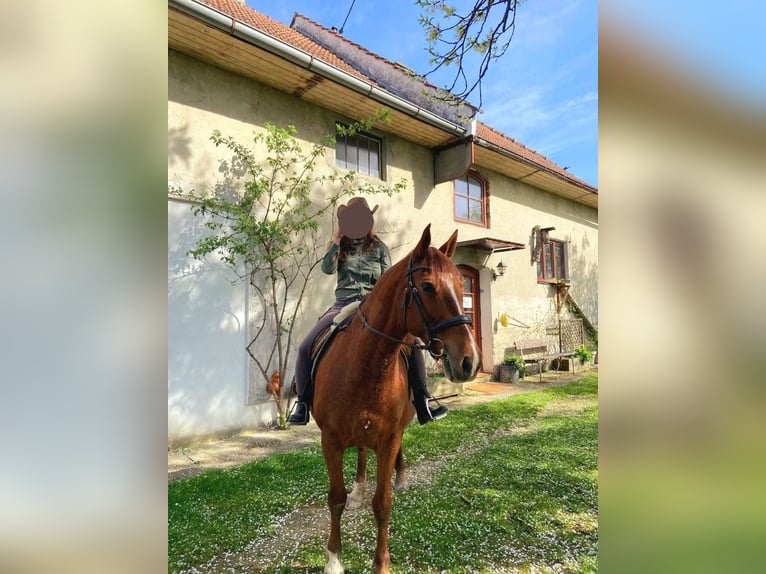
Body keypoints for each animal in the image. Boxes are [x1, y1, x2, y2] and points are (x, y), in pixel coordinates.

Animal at [312, 226, 480, 574]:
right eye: (427, 286)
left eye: (462, 286)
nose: (469, 361)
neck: (365, 362)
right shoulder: (330, 440)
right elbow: (336, 498)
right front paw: (333, 558)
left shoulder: (388, 439)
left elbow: (383, 503)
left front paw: (382, 564)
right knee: (361, 453)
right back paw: (359, 487)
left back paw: (400, 476)